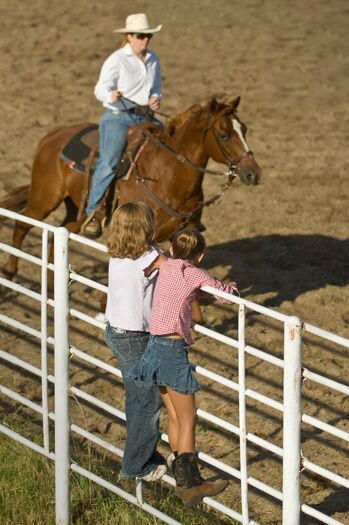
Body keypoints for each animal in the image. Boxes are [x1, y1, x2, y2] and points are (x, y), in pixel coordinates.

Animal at [0, 94, 260, 282]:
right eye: (224, 135)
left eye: (245, 129)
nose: (253, 173)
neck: (166, 174)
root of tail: (53, 134)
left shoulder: (185, 232)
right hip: (44, 198)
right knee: (22, 224)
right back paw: (9, 273)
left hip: (76, 210)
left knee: (59, 234)